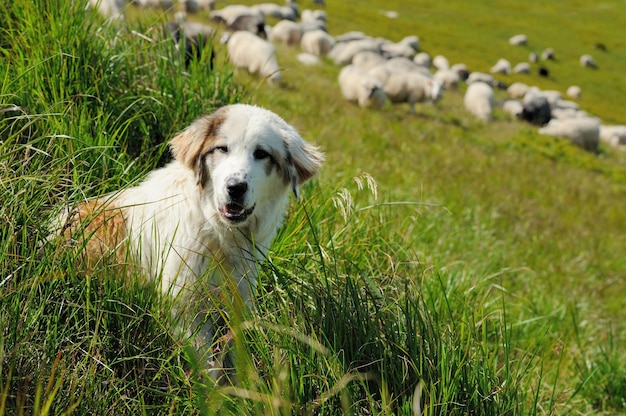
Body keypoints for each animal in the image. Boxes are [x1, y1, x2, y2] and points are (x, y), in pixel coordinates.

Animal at [56, 105, 324, 380]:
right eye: (222, 149)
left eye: (262, 154)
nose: (235, 187)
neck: (216, 232)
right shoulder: (184, 308)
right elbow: (209, 366)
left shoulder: (235, 302)